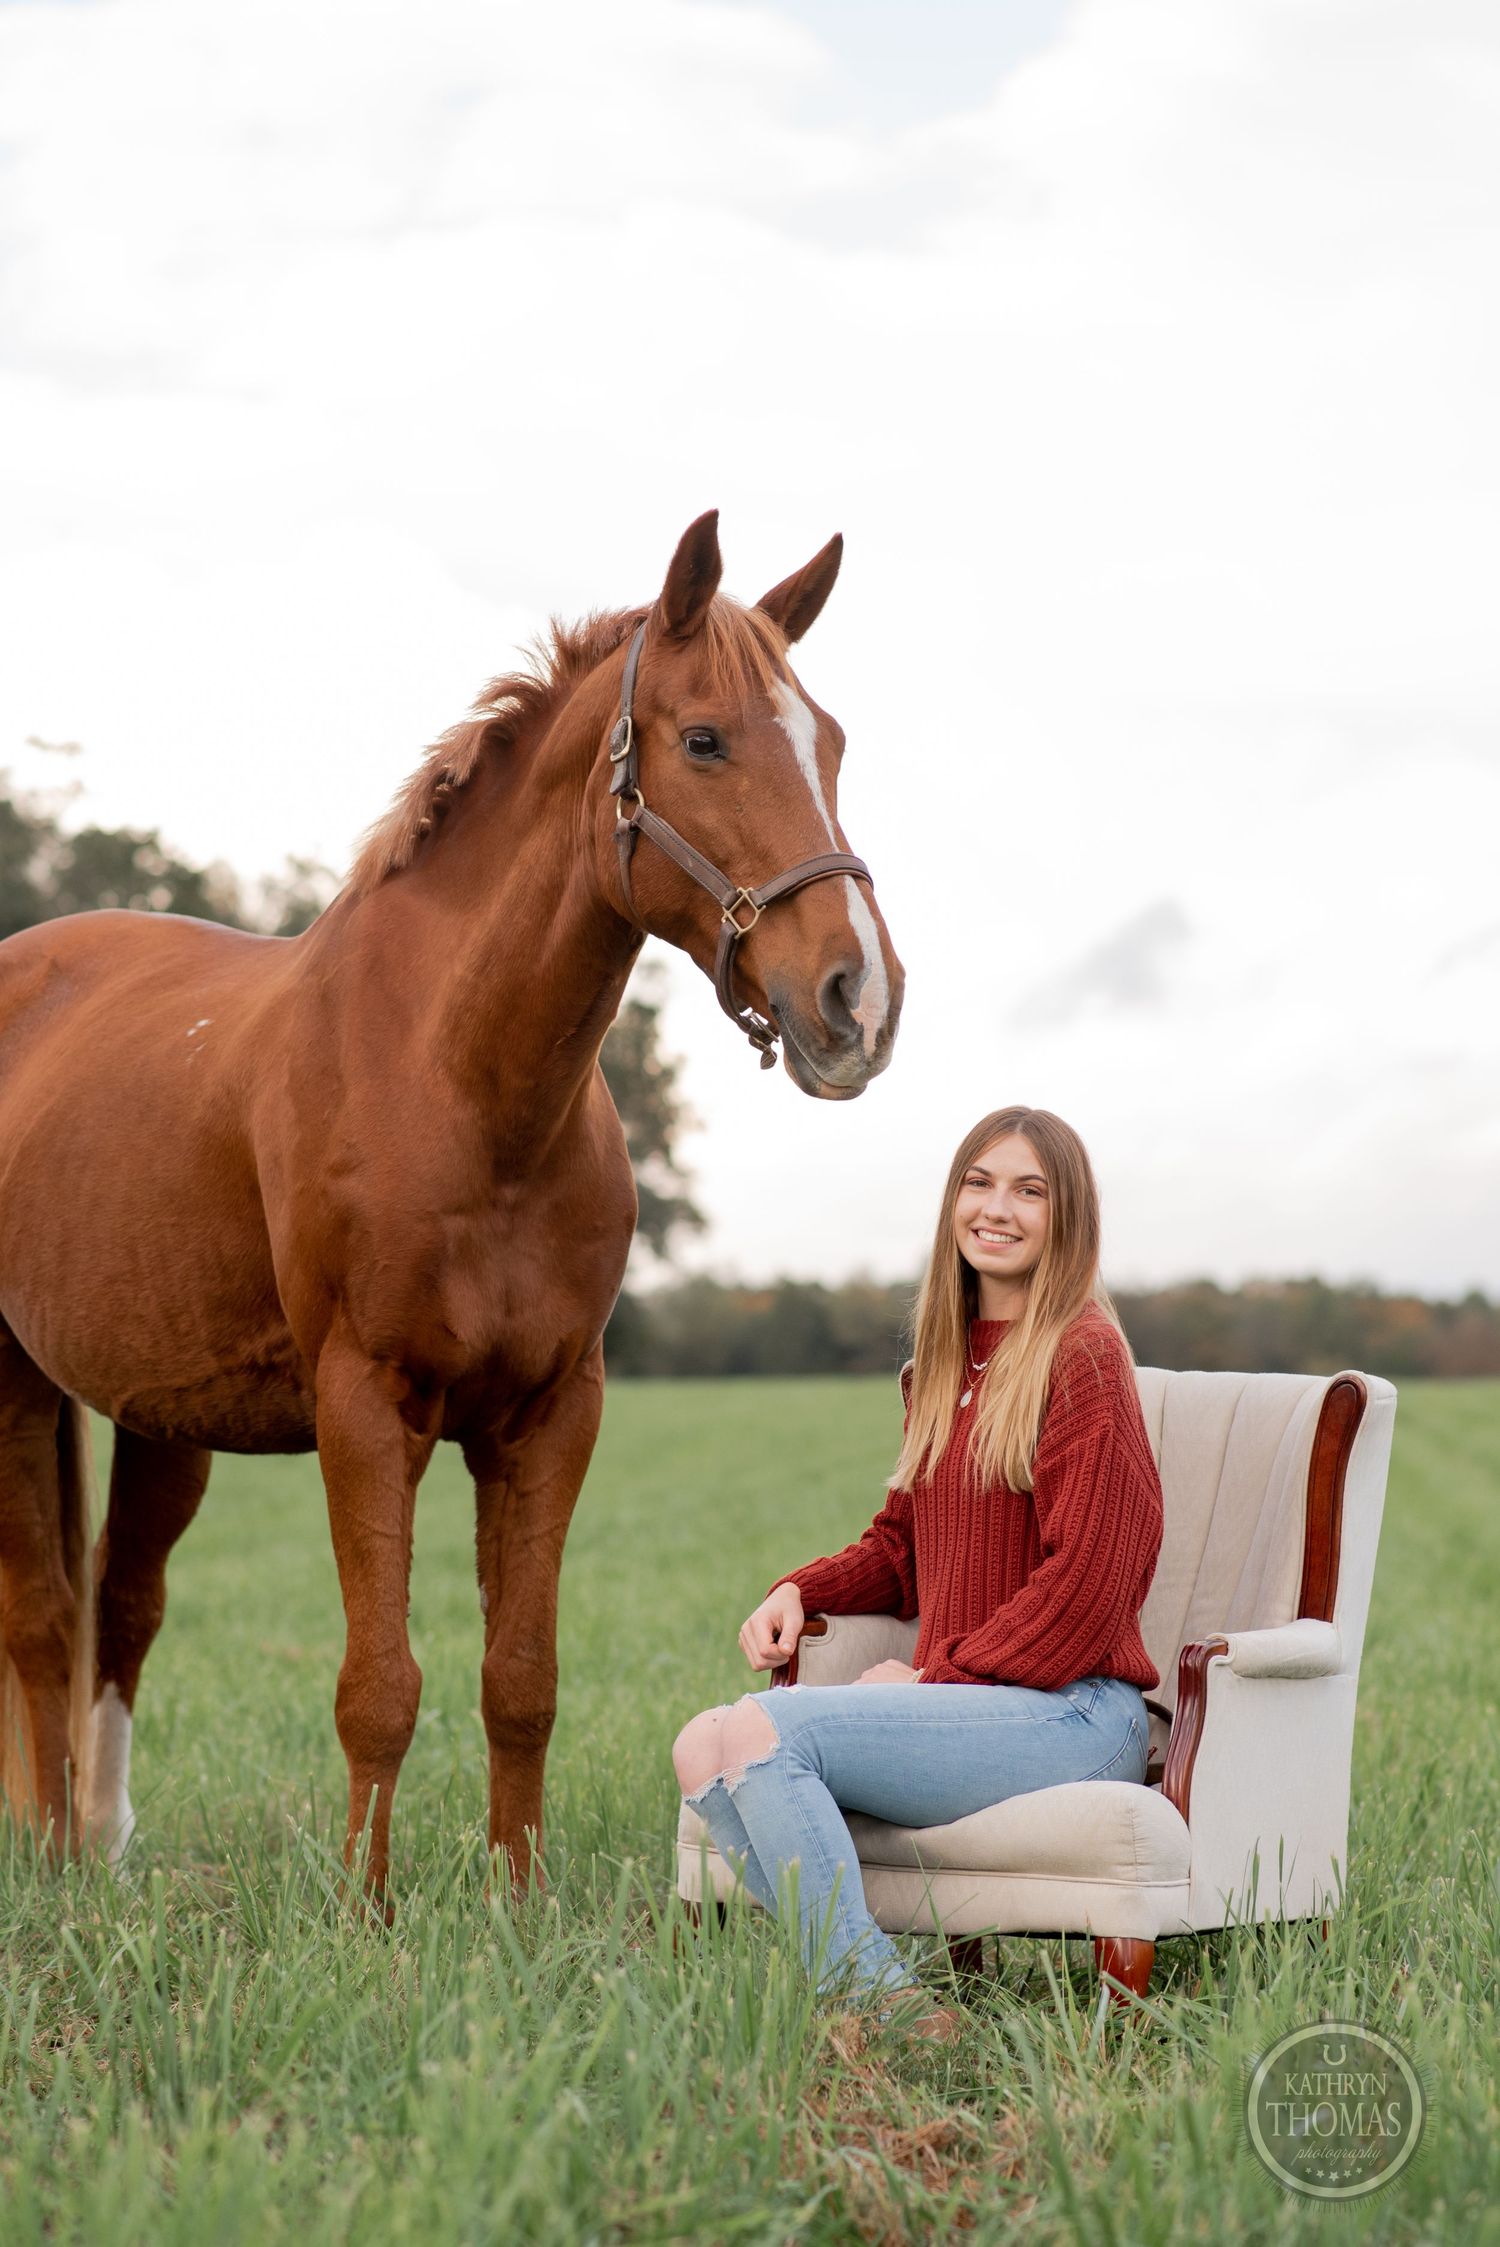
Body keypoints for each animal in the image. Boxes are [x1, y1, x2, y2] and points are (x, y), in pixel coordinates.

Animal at [0, 512, 904, 1897]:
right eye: (704, 739)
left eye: (836, 743)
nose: (859, 1000)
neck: (460, 1089)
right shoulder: (368, 1407)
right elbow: (379, 1685)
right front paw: (366, 1910)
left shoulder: (548, 1414)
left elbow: (518, 1679)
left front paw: (517, 1898)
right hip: (12, 1382)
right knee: (43, 1616)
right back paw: (49, 1854)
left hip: (162, 1413)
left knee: (121, 1603)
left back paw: (100, 1844)